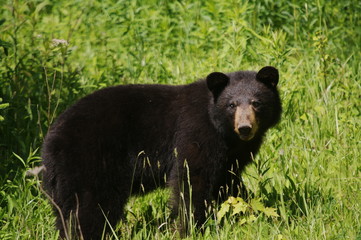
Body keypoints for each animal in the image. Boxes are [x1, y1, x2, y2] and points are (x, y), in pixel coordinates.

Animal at [40, 66, 280, 240]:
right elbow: (191, 178)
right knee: (89, 208)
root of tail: (50, 142)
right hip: (89, 162)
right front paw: (188, 228)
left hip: (63, 180)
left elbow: (228, 183)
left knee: (66, 212)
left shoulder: (230, 155)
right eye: (232, 104)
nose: (245, 128)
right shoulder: (196, 132)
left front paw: (252, 212)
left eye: (256, 103)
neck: (222, 131)